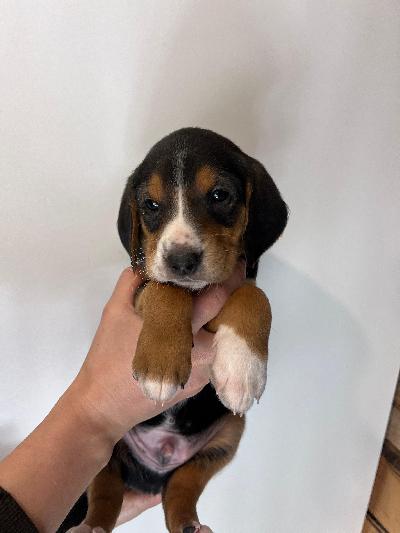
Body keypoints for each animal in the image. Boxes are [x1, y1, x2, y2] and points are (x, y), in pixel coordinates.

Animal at [84, 127, 288, 533]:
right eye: (150, 204)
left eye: (220, 195)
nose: (180, 260)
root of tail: (154, 467)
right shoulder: (143, 286)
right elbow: (167, 289)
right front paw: (160, 367)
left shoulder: (242, 275)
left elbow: (255, 296)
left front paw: (242, 367)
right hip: (104, 441)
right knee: (105, 486)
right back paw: (94, 525)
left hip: (230, 432)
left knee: (182, 487)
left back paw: (188, 524)